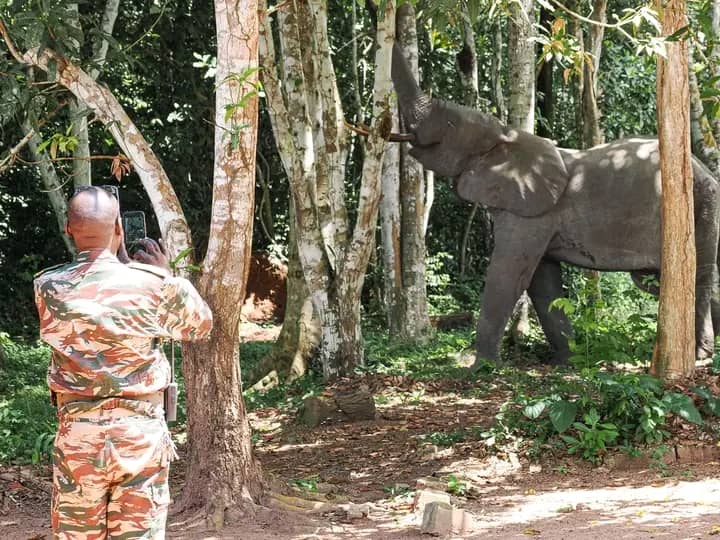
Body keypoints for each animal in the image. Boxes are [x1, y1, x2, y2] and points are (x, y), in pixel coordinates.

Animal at [394, 45, 720, 368]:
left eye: (448, 124)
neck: (506, 135)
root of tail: (702, 168)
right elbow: (543, 281)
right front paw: (568, 363)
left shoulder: (533, 214)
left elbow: (508, 273)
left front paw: (483, 368)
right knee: (658, 281)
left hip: (701, 206)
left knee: (696, 277)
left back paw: (700, 354)